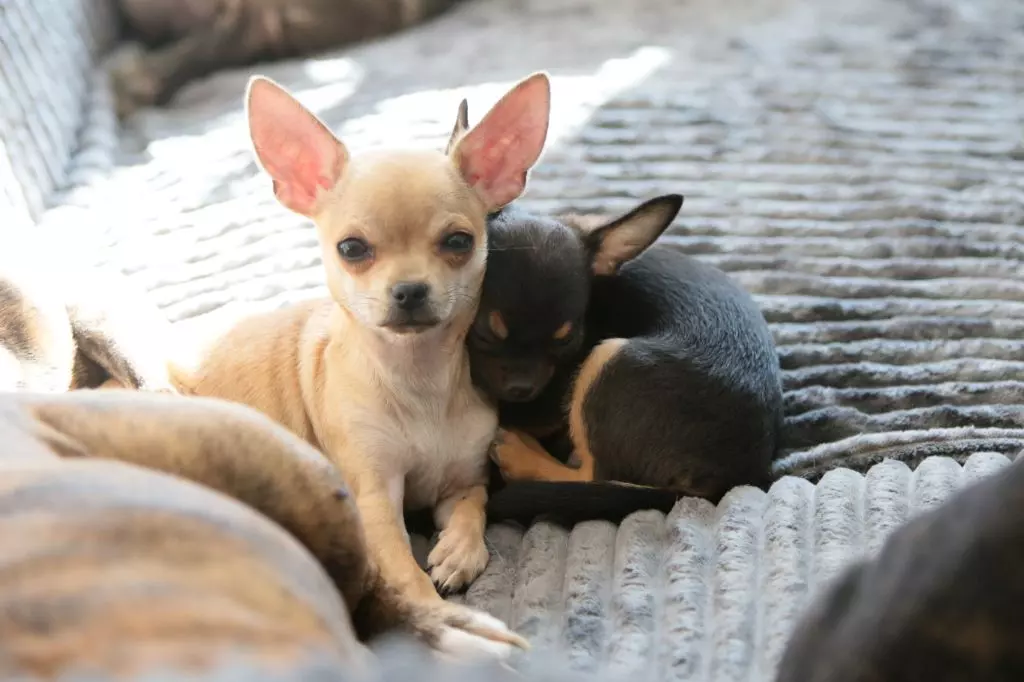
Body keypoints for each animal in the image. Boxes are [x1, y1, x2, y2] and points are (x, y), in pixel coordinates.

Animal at [174, 73, 552, 655]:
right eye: (352, 249)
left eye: (459, 242)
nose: (410, 290)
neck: (419, 379)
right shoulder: (375, 500)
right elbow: (405, 573)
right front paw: (441, 617)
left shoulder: (461, 481)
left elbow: (475, 506)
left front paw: (459, 552)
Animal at [448, 100, 782, 518]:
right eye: (483, 332)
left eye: (567, 341)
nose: (523, 389)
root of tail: (732, 482)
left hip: (609, 360)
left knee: (593, 475)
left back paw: (522, 456)